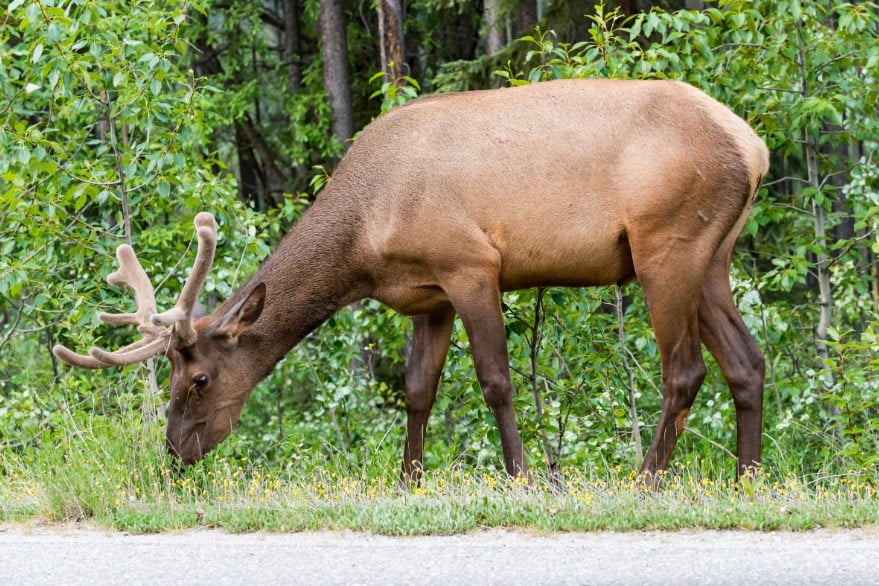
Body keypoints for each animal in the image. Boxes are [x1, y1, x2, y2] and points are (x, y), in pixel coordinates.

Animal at [55, 78, 768, 480]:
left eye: (199, 378)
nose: (175, 451)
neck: (366, 240)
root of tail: (753, 145)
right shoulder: (428, 296)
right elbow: (418, 390)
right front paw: (408, 479)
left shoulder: (471, 264)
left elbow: (495, 381)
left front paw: (528, 477)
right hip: (713, 255)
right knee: (747, 360)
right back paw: (748, 477)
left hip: (665, 243)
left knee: (685, 370)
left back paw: (646, 479)